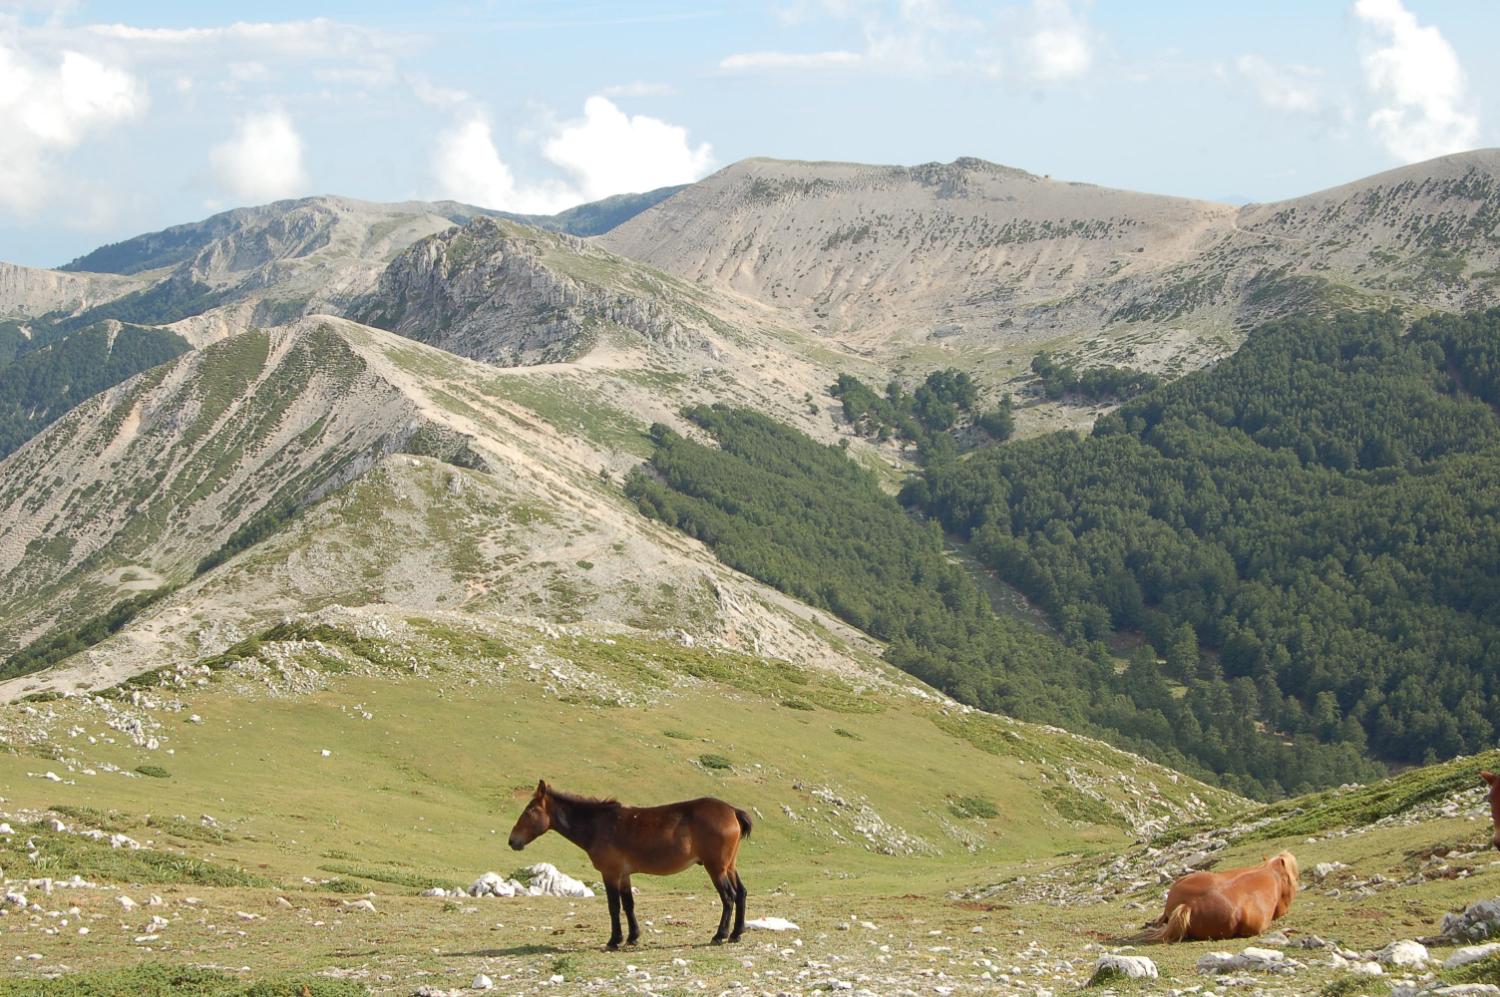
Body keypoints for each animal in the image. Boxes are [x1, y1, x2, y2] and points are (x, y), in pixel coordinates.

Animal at [510, 779, 756, 947]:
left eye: (529, 810)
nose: (513, 840)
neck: (598, 825)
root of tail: (732, 810)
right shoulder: (624, 874)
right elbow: (628, 904)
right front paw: (632, 937)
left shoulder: (610, 873)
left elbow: (614, 906)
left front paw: (614, 940)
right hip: (729, 866)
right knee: (741, 894)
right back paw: (736, 934)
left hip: (716, 868)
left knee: (729, 897)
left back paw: (720, 935)